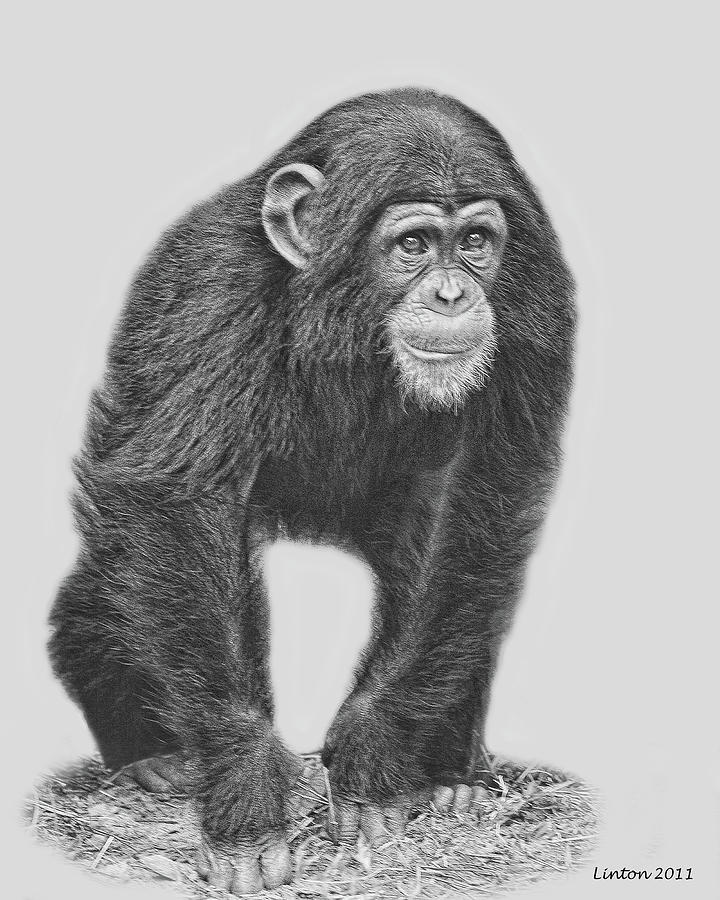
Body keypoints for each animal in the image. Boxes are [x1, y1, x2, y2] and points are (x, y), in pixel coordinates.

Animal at [48, 88, 575, 894]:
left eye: (477, 241)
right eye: (414, 244)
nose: (453, 293)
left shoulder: (537, 305)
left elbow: (473, 492)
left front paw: (372, 757)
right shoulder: (206, 286)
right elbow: (180, 500)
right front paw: (245, 804)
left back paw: (449, 777)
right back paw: (154, 758)